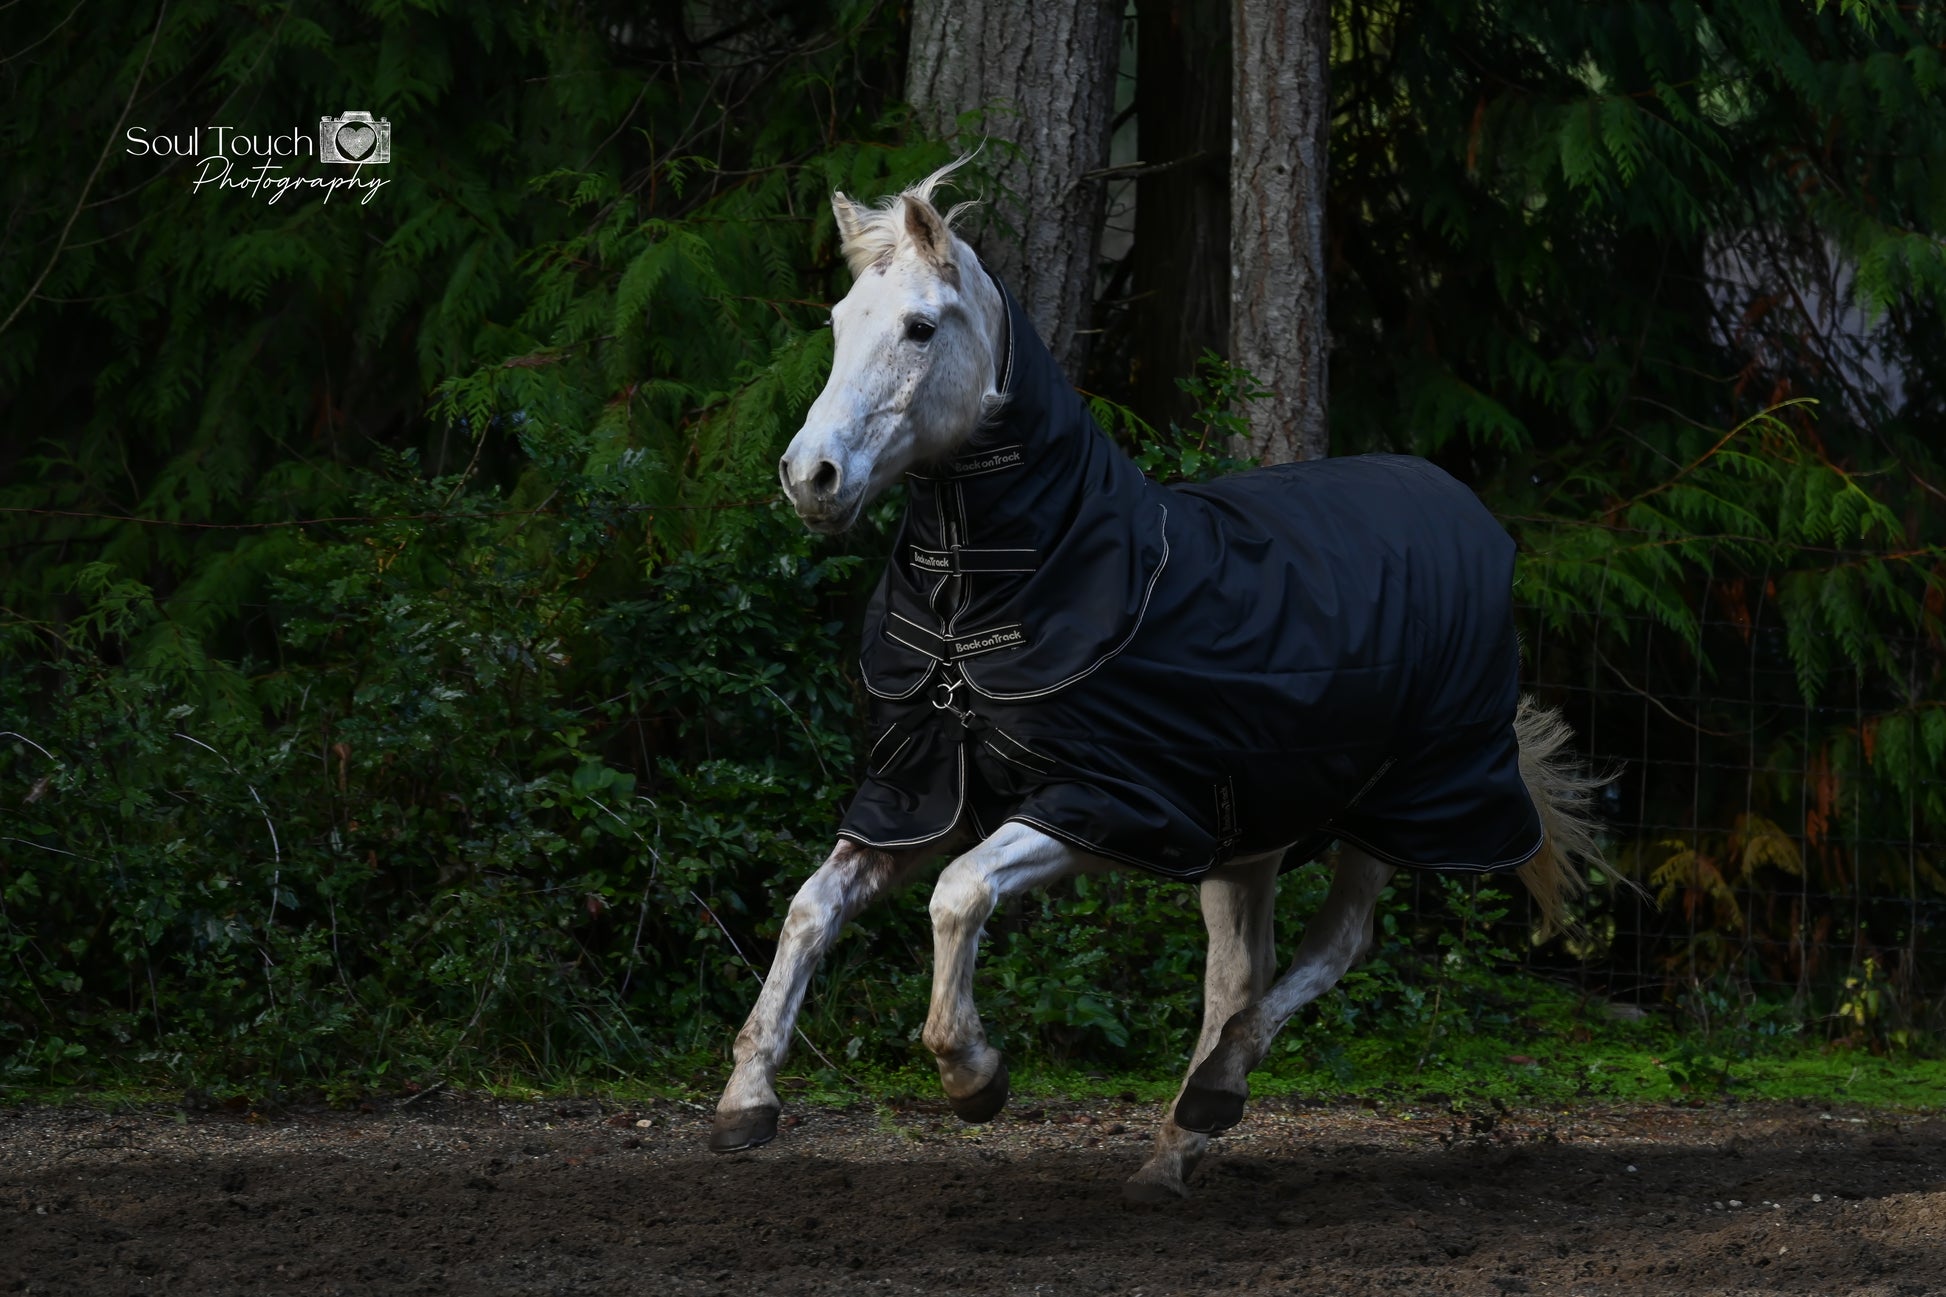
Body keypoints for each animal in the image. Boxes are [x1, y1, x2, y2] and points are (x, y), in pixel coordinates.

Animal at [710, 157, 1605, 1201]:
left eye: (922, 327)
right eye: (841, 319)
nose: (810, 476)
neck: (1004, 591)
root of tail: (1468, 509)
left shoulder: (1100, 804)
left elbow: (958, 895)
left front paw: (972, 1074)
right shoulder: (916, 800)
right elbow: (812, 905)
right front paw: (746, 1100)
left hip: (1396, 809)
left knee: (1335, 946)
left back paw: (1216, 1090)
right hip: (1250, 835)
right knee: (1238, 972)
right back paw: (1176, 1146)